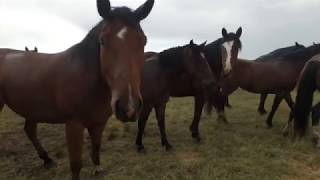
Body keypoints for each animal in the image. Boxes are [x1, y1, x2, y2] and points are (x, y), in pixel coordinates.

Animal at [0, 0, 154, 179]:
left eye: (143, 41)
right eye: (103, 41)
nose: (128, 108)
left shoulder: (99, 122)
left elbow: (96, 150)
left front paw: (98, 169)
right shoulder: (73, 125)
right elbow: (76, 164)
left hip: (32, 108)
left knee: (30, 130)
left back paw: (47, 160)